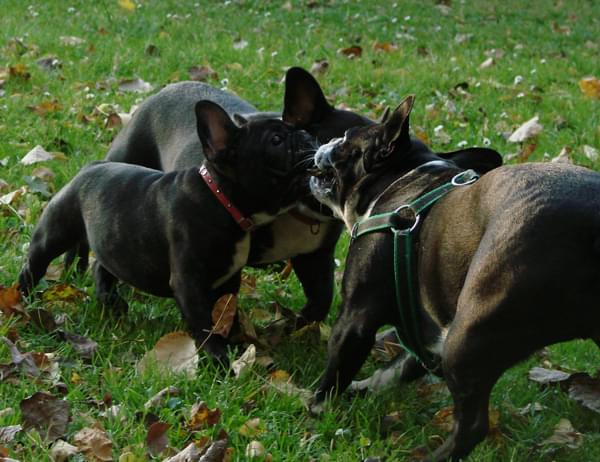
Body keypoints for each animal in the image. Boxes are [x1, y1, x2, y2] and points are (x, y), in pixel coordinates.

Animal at [19, 100, 317, 362]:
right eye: (276, 140)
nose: (306, 133)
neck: (221, 200)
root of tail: (92, 166)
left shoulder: (229, 280)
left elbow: (225, 313)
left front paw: (235, 343)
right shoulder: (189, 283)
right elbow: (204, 322)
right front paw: (218, 358)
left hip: (112, 239)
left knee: (102, 267)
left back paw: (111, 302)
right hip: (56, 231)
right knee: (35, 262)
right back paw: (23, 301)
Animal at [307, 94, 600, 460]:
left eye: (346, 139)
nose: (326, 142)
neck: (400, 182)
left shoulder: (357, 315)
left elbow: (339, 365)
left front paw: (315, 407)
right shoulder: (432, 332)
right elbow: (396, 369)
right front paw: (363, 388)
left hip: (469, 335)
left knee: (472, 426)